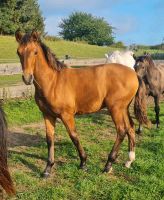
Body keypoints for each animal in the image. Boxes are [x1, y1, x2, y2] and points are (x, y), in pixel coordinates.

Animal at [15, 30, 149, 177]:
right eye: (18, 52)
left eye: (35, 52)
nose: (27, 78)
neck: (53, 82)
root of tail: (134, 74)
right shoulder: (47, 115)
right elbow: (49, 138)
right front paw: (47, 169)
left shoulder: (67, 115)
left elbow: (74, 136)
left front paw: (83, 163)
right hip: (123, 108)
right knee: (130, 127)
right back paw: (129, 160)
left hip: (115, 109)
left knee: (121, 130)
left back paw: (108, 165)